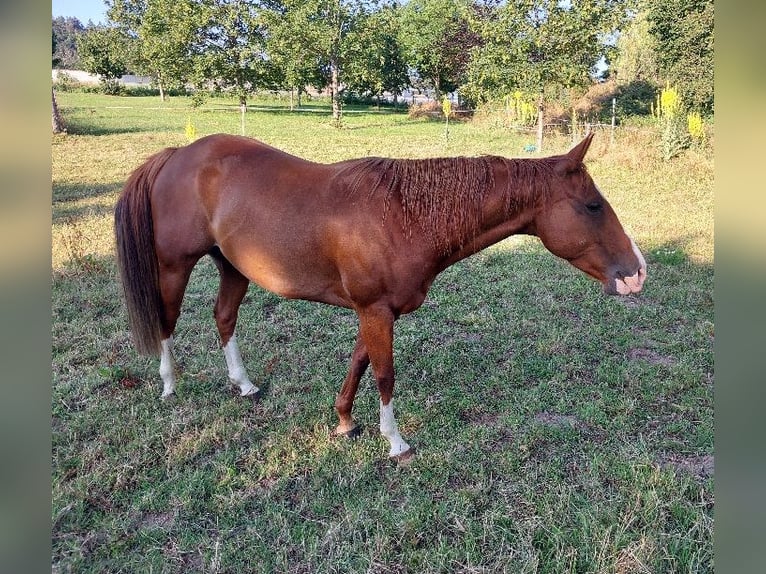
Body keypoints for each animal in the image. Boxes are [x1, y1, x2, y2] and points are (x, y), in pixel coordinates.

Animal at [114, 132, 646, 461]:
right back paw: (169, 385)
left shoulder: (373, 312)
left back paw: (244, 384)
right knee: (166, 321)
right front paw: (395, 442)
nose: (637, 273)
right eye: (593, 206)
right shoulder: (376, 311)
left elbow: (359, 362)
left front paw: (345, 422)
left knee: (224, 318)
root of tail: (179, 153)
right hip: (174, 265)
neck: (404, 216)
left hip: (232, 267)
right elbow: (385, 374)